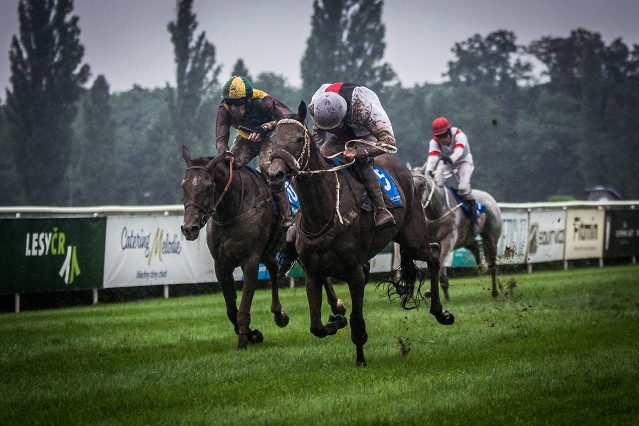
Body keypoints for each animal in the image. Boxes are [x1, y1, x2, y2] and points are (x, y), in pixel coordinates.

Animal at [180, 146, 344, 350]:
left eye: (209, 186)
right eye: (184, 186)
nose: (189, 228)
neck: (234, 210)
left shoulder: (250, 261)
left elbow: (243, 307)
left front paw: (244, 340)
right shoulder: (221, 265)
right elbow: (231, 308)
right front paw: (251, 333)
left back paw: (337, 306)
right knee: (275, 268)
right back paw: (281, 314)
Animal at [264, 103, 456, 366]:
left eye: (298, 139)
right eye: (273, 139)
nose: (275, 175)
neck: (323, 212)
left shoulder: (354, 272)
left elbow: (356, 321)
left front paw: (360, 359)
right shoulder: (313, 273)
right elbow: (316, 327)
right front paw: (335, 321)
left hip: (413, 235)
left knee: (435, 253)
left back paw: (441, 312)